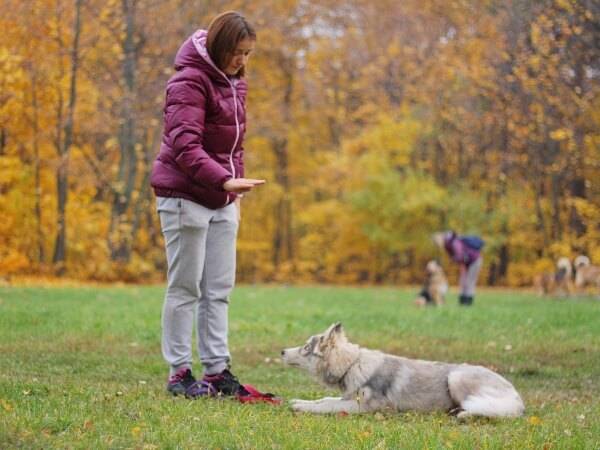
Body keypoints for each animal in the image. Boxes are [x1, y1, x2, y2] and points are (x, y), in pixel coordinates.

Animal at [278, 324, 524, 418]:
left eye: (305, 348)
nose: (281, 351)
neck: (351, 365)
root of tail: (517, 398)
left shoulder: (365, 407)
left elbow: (328, 405)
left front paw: (301, 407)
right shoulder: (348, 397)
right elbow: (324, 399)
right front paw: (300, 401)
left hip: (456, 377)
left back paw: (463, 415)